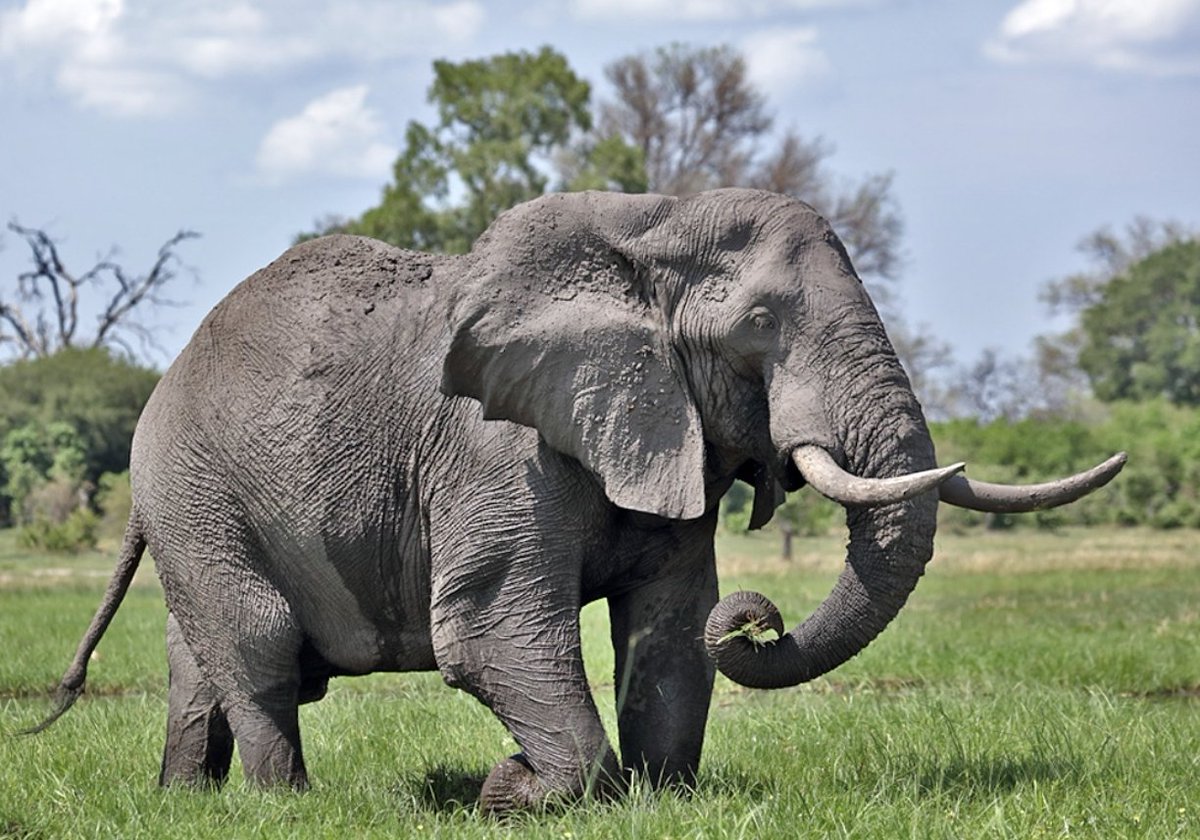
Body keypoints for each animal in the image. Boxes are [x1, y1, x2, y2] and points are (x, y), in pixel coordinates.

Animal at [28, 188, 1124, 813]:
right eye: (761, 323)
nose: (761, 620)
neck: (650, 223)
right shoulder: (494, 450)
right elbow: (492, 630)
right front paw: (511, 792)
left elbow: (674, 624)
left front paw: (662, 799)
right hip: (195, 489)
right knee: (256, 645)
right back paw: (285, 808)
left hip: (197, 503)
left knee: (204, 655)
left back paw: (184, 799)